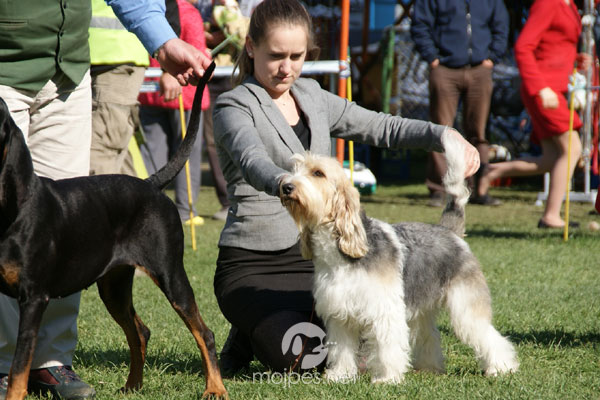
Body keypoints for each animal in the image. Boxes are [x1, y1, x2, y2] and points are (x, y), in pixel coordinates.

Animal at [0, 62, 227, 400]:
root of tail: (150, 184)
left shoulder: (34, 298)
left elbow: (18, 369)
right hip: (114, 285)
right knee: (140, 331)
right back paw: (133, 385)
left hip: (170, 273)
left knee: (204, 332)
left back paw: (215, 388)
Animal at [278, 133, 516, 382]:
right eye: (294, 169)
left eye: (318, 173)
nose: (286, 186)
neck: (340, 253)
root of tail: (449, 230)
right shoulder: (340, 313)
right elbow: (341, 348)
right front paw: (340, 375)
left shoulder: (385, 310)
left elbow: (386, 347)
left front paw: (387, 378)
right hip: (422, 306)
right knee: (429, 334)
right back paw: (430, 367)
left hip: (465, 305)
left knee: (488, 335)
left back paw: (501, 367)